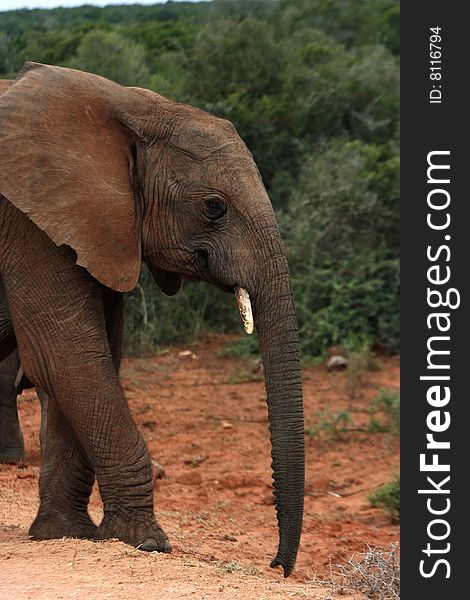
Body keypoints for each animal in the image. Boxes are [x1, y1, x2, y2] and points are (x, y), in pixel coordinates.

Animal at [0, 62, 304, 576]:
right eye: (214, 207)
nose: (276, 566)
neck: (133, 107)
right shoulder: (28, 222)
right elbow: (68, 358)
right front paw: (144, 542)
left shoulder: (95, 227)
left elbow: (86, 360)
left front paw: (63, 534)